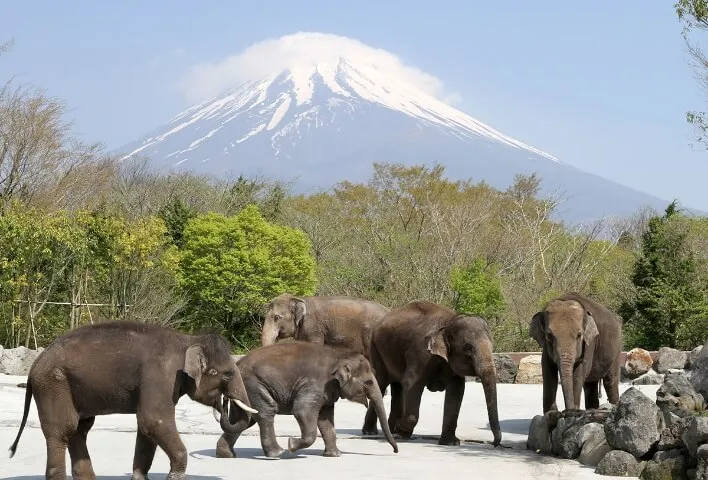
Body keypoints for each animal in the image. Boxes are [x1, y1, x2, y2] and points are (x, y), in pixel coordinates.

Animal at [7, 320, 258, 480]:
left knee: (80, 429)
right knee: (63, 430)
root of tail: (35, 365)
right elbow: (154, 421)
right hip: (53, 383)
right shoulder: (161, 375)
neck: (188, 340)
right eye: (228, 374)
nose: (223, 404)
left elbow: (146, 429)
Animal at [214, 342, 398, 458]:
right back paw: (277, 453)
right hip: (254, 385)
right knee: (266, 413)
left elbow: (326, 420)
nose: (396, 451)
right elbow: (302, 411)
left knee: (243, 419)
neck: (338, 355)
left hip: (243, 391)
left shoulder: (327, 391)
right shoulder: (315, 384)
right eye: (368, 383)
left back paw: (226, 455)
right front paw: (291, 444)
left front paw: (335, 455)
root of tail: (236, 365)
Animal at [360, 300, 504, 446]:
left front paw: (450, 443)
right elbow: (412, 384)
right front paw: (402, 430)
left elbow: (456, 391)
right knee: (381, 384)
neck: (449, 321)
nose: (494, 443)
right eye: (468, 348)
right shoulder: (421, 353)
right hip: (375, 349)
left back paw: (391, 430)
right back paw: (371, 432)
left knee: (397, 387)